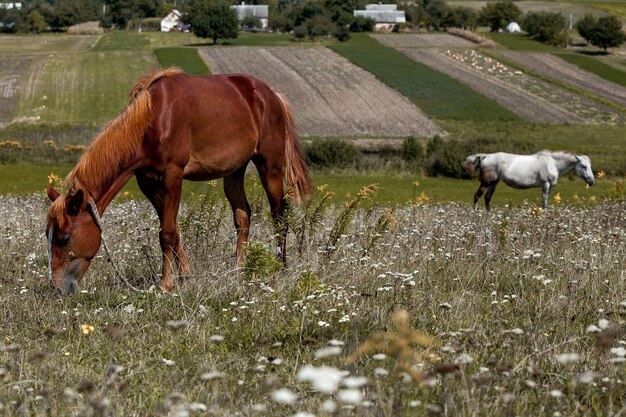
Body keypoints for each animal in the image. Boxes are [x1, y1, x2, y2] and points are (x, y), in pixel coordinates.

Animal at [45, 68, 312, 292]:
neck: (153, 120)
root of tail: (271, 95)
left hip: (271, 166)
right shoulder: (148, 183)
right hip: (234, 171)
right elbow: (173, 230)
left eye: (64, 238)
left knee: (279, 214)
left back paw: (281, 267)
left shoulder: (173, 175)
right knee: (242, 216)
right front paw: (185, 276)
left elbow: (167, 233)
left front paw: (166, 284)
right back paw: (237, 271)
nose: (58, 288)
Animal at [464, 150, 596, 211]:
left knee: (487, 198)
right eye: (584, 166)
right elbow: (544, 202)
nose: (591, 182)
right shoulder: (545, 185)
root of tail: (485, 156)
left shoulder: (550, 187)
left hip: (494, 183)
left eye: (590, 166)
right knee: (477, 196)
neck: (552, 163)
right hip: (486, 182)